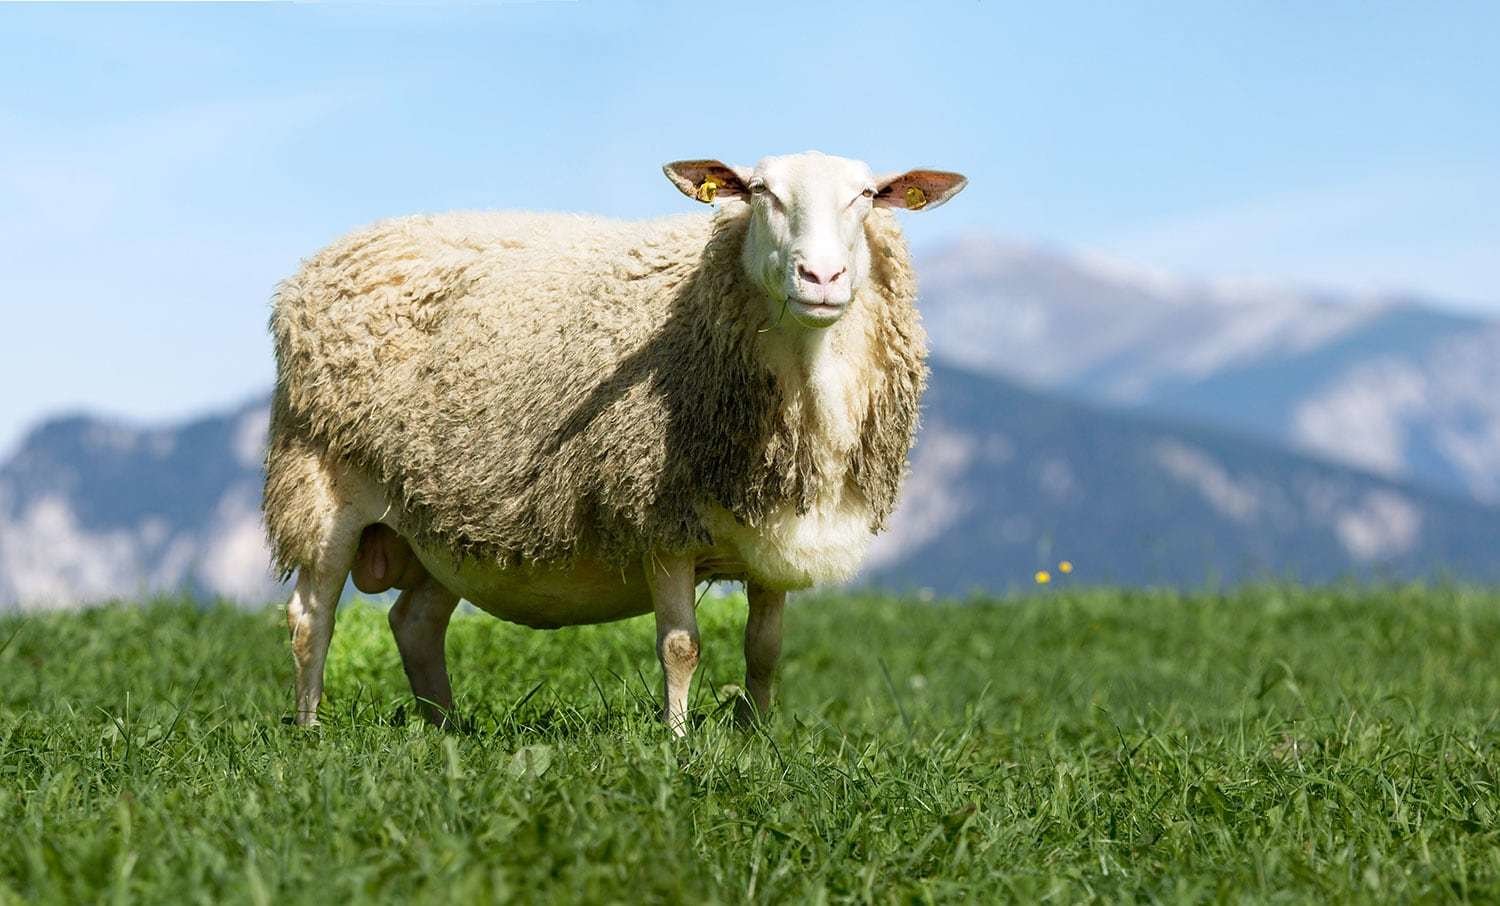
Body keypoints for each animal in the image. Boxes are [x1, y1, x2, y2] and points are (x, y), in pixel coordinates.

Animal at [263, 151, 967, 733]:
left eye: (868, 195)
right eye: (759, 191)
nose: (821, 276)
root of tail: (314, 267)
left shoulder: (776, 533)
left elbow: (764, 649)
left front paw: (759, 739)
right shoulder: (659, 517)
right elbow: (681, 646)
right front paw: (679, 744)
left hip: (442, 519)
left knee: (414, 623)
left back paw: (445, 730)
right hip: (321, 481)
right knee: (311, 619)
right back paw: (310, 733)